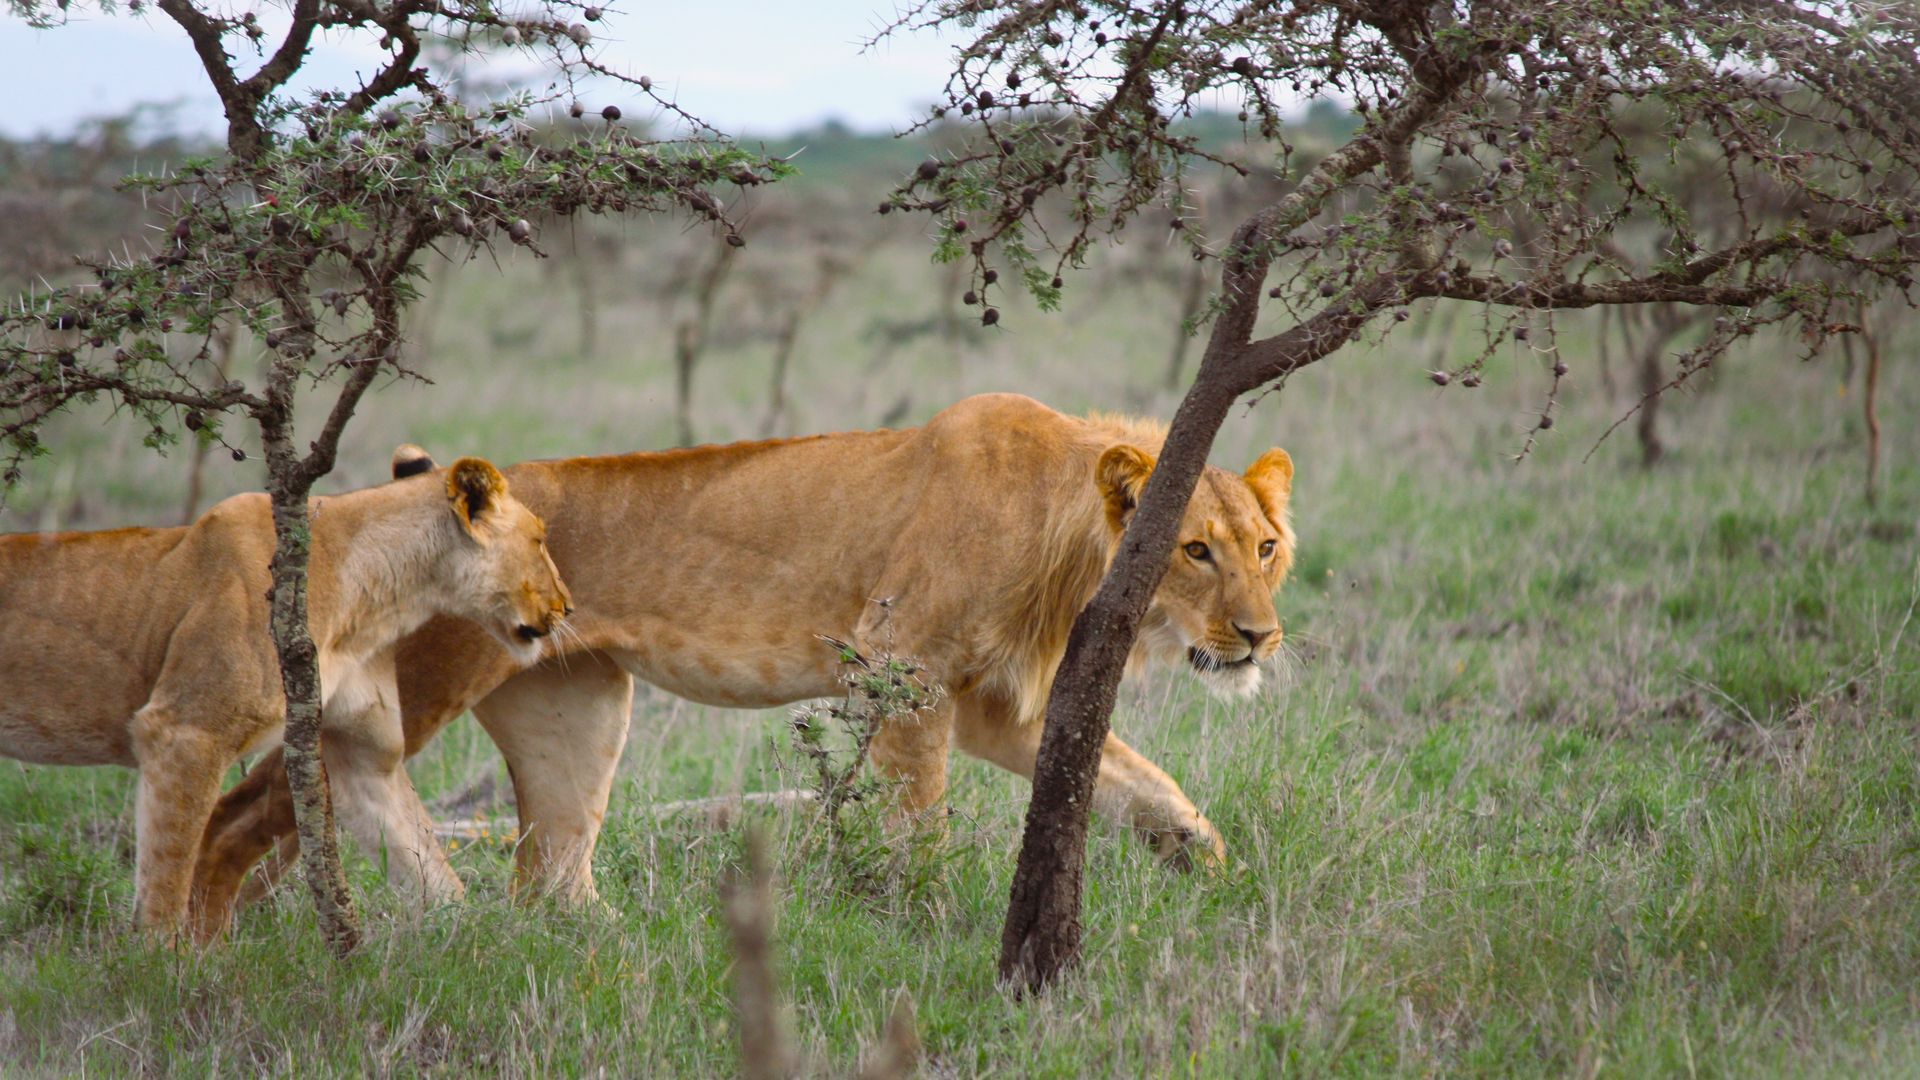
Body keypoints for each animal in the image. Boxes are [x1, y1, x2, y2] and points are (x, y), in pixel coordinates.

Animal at [0, 457, 570, 936]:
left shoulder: (363, 751)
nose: (568, 606)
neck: (374, 593)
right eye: (540, 540)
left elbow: (425, 862)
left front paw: (483, 945)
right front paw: (163, 980)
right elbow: (165, 882)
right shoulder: (183, 732)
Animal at [191, 393, 1294, 932]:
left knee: (548, 872)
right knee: (258, 805)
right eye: (1196, 551)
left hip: (577, 706)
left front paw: (1203, 859)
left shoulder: (990, 705)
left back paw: (606, 943)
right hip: (424, 677)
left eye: (1266, 547)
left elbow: (1135, 778)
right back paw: (205, 949)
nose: (1259, 637)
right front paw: (925, 922)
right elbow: (919, 822)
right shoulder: (905, 668)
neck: (1063, 531)